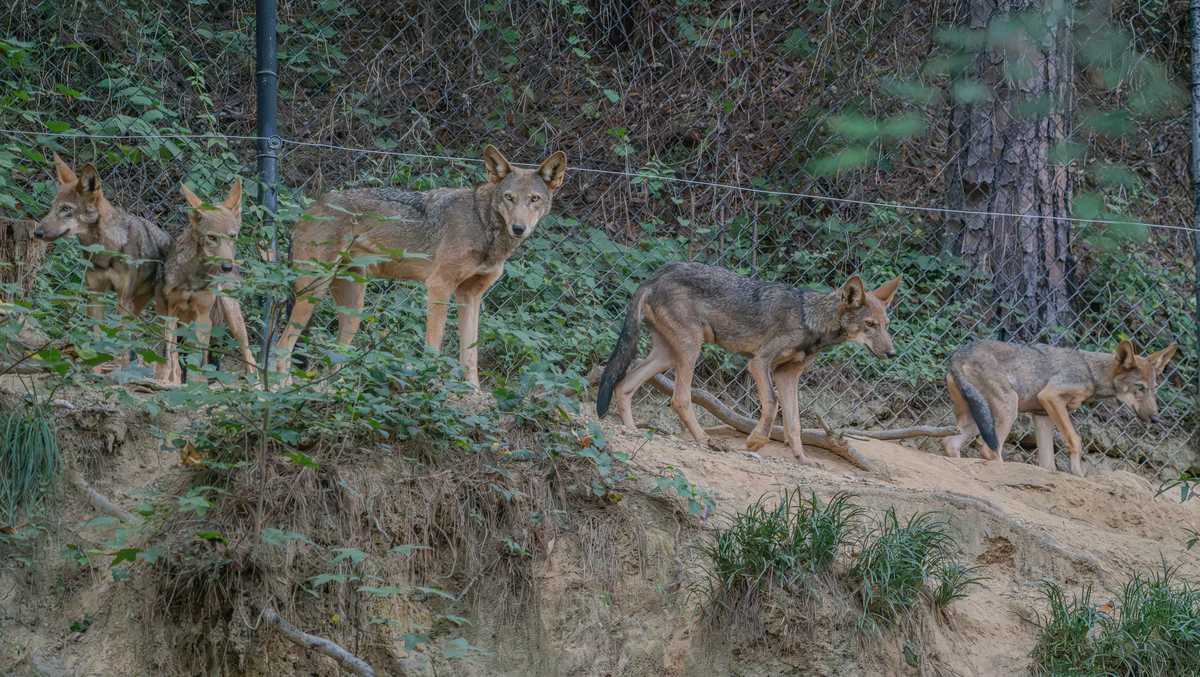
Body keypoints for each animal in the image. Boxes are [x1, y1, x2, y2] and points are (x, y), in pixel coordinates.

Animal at [154, 180, 257, 384]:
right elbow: (171, 355)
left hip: (231, 315)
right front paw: (171, 380)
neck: (193, 278)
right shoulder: (171, 312)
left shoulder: (203, 316)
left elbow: (198, 360)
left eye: (232, 236)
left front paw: (197, 384)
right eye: (211, 237)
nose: (227, 267)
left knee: (248, 354)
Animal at [271, 145, 567, 386]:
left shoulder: (470, 296)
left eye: (534, 199)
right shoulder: (439, 287)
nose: (519, 228)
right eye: (509, 197)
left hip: (353, 309)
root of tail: (307, 209)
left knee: (335, 356)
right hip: (313, 292)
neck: (483, 224)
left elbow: (470, 355)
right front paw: (430, 385)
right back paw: (280, 391)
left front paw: (474, 395)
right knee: (282, 345)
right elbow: (434, 345)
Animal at [595, 262, 902, 465]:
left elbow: (794, 423)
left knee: (624, 385)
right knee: (679, 399)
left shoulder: (788, 375)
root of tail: (655, 275)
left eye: (886, 325)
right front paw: (755, 441)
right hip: (690, 350)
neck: (810, 319)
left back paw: (632, 430)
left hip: (667, 355)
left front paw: (803, 458)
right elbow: (772, 405)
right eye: (870, 325)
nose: (892, 353)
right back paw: (705, 441)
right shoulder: (759, 364)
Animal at [942, 339, 1178, 475]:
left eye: (1153, 389)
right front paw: (1078, 473)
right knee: (988, 450)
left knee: (950, 443)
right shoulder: (1051, 397)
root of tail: (957, 355)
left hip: (978, 419)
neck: (1090, 372)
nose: (1156, 419)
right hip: (1008, 408)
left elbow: (1048, 463)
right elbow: (1075, 440)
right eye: (1140, 388)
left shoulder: (1042, 415)